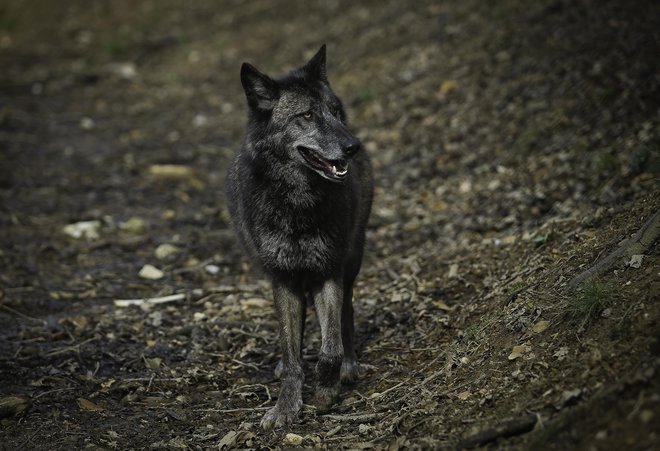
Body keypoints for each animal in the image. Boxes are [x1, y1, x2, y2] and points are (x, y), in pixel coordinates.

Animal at [226, 45, 372, 430]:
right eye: (306, 115)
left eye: (335, 111)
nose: (353, 146)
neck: (297, 204)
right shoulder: (283, 279)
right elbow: (292, 352)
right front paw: (287, 405)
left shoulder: (328, 272)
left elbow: (330, 347)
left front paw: (325, 391)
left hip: (352, 260)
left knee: (346, 314)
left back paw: (349, 365)